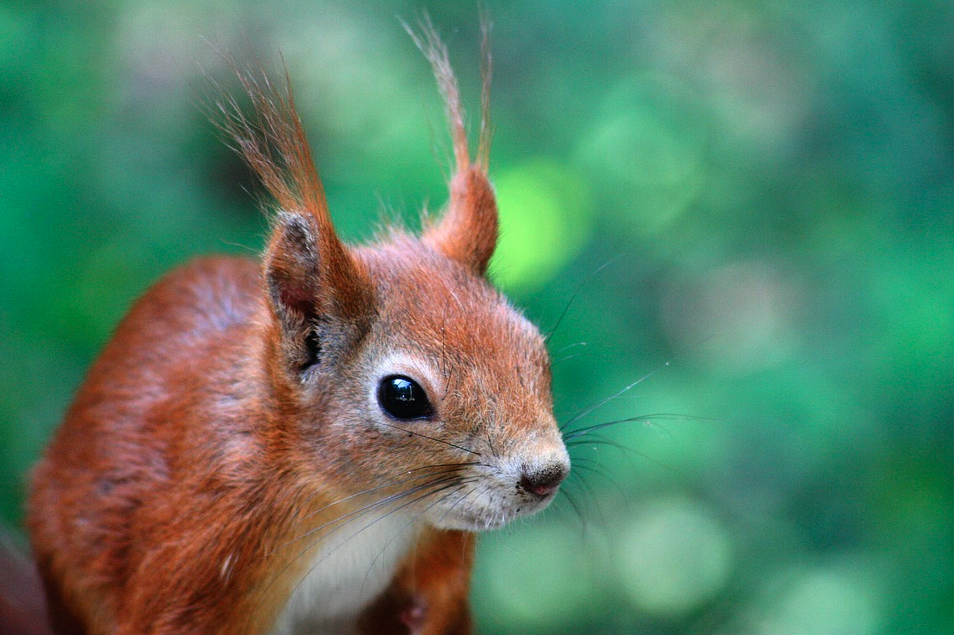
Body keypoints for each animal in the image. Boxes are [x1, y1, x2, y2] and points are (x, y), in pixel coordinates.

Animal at [22, 18, 568, 635]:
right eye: (402, 395)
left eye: (535, 348)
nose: (546, 474)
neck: (361, 511)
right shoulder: (198, 545)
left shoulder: (436, 559)